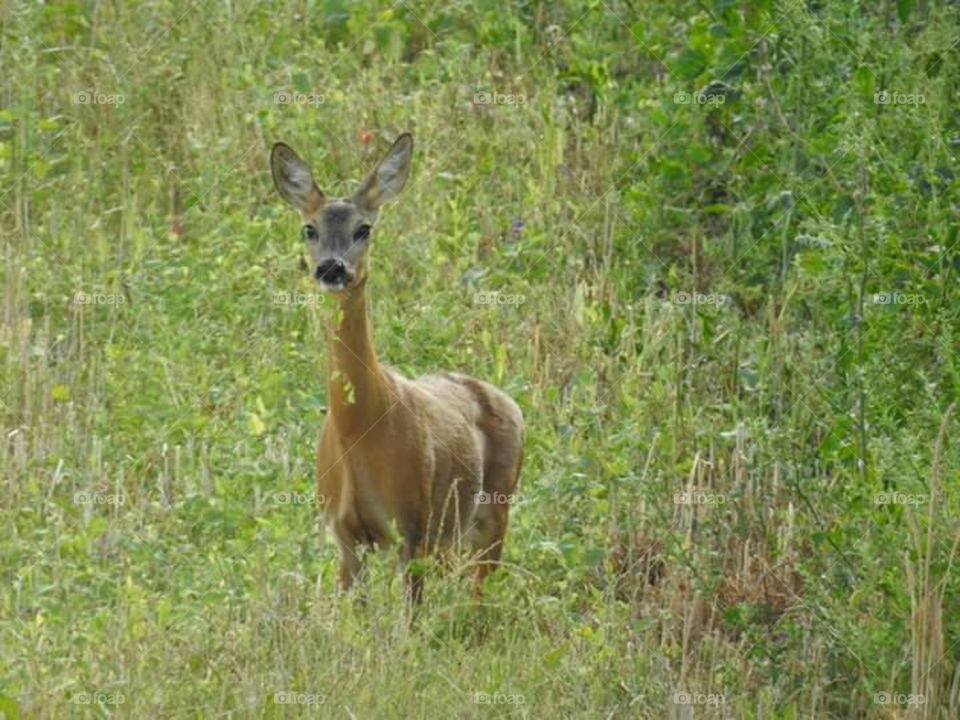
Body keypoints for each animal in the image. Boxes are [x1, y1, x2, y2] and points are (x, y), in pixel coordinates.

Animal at [269, 132, 525, 604]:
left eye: (364, 228)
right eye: (309, 228)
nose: (331, 267)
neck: (358, 430)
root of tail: (509, 401)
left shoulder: (411, 526)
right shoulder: (343, 534)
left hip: (495, 509)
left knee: (483, 592)